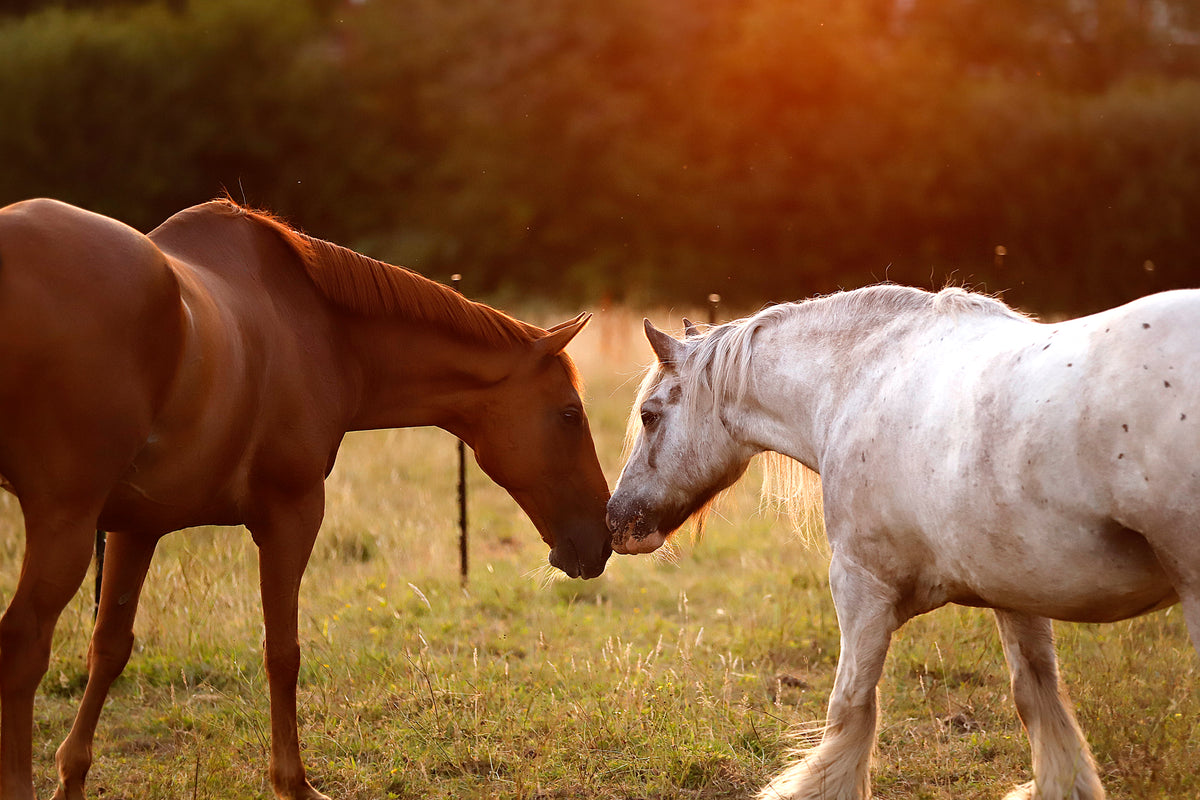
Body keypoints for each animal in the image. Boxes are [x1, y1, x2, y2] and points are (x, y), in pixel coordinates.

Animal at [0, 197, 612, 800]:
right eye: (569, 414)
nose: (600, 540)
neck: (325, 334)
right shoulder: (291, 514)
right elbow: (283, 651)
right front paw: (293, 781)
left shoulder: (136, 525)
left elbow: (109, 646)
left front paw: (72, 777)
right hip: (64, 525)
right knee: (22, 648)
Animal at [606, 283, 1200, 800]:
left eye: (649, 415)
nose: (616, 520)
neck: (859, 379)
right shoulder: (1017, 592)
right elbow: (1036, 697)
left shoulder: (860, 586)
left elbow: (849, 710)